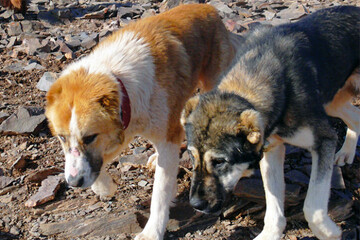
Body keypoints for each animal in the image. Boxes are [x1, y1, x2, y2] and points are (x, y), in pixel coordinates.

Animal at [44, 4, 236, 240]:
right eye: (61, 138)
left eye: (89, 137)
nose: (73, 183)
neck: (120, 81)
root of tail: (208, 8)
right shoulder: (122, 130)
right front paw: (105, 188)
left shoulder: (163, 135)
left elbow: (159, 193)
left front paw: (152, 231)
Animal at [183, 5, 360, 240]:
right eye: (192, 157)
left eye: (220, 161)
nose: (195, 204)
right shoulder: (272, 149)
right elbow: (274, 208)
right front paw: (269, 234)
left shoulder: (323, 140)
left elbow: (312, 207)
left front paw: (329, 233)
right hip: (332, 102)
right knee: (356, 116)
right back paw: (347, 152)